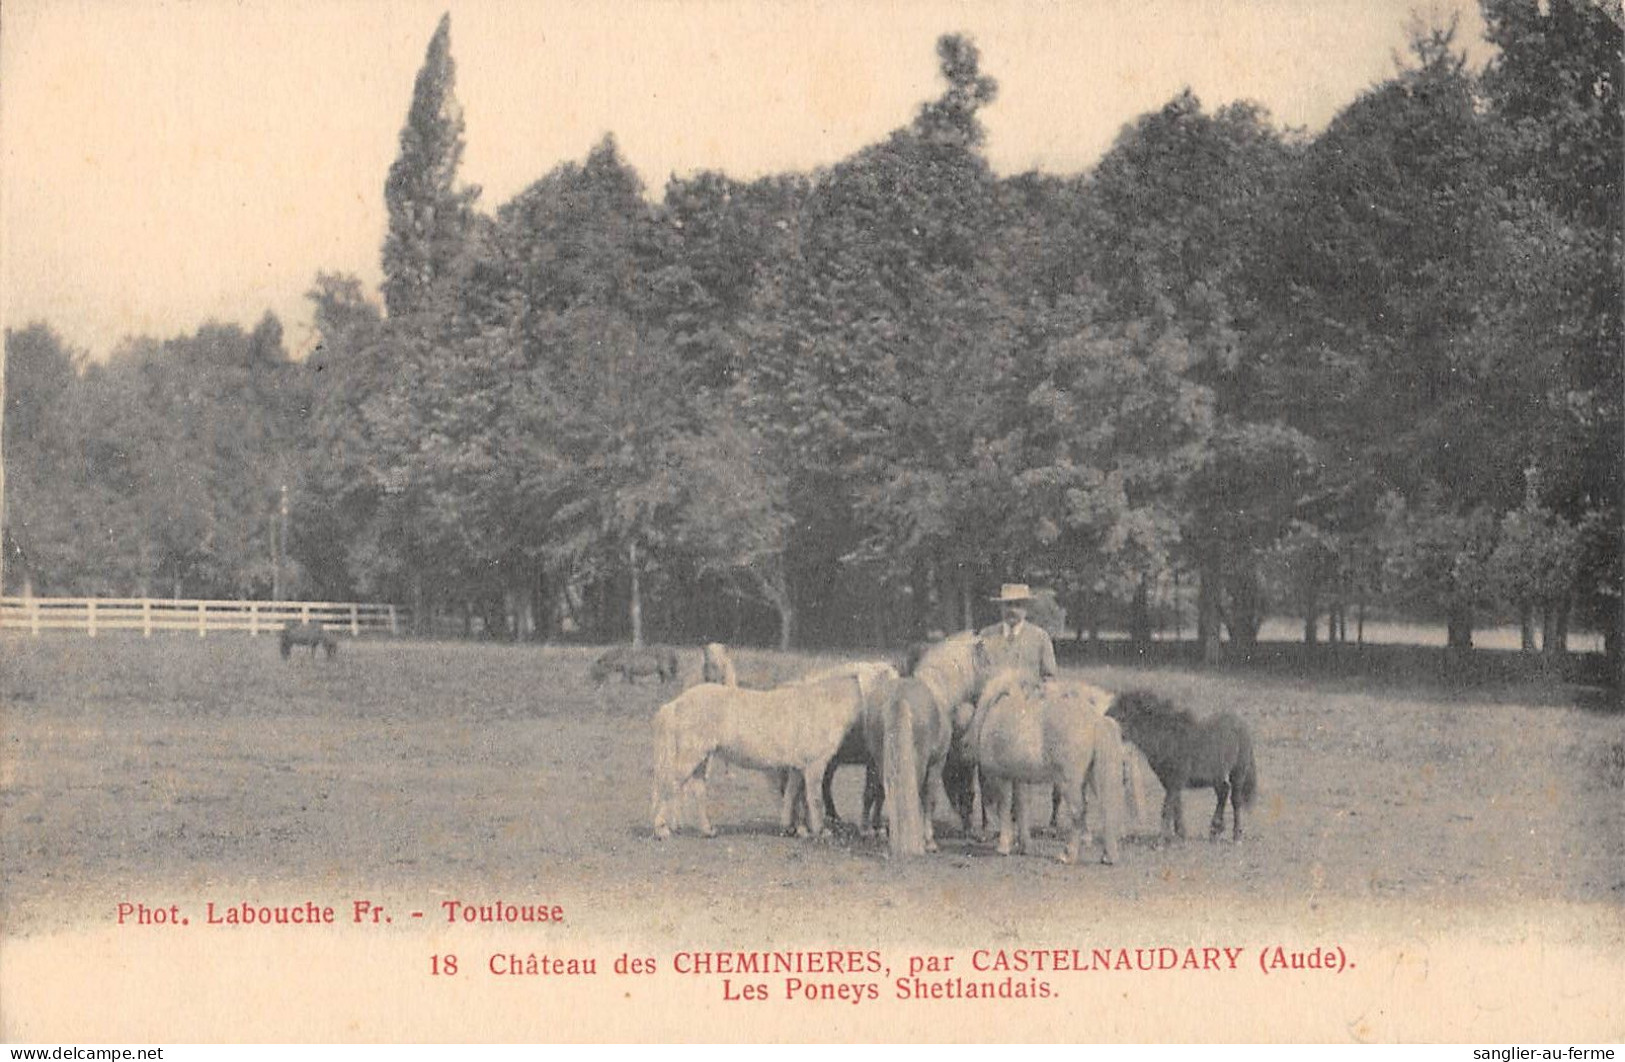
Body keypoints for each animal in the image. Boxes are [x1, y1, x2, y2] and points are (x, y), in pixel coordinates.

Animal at [646, 678, 877, 844]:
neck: (824, 707)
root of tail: (676, 704)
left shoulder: (797, 767)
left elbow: (793, 795)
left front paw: (794, 829)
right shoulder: (814, 766)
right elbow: (814, 799)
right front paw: (820, 832)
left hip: (701, 759)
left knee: (697, 789)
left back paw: (708, 831)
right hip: (691, 755)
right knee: (670, 785)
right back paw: (661, 831)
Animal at [968, 669, 1124, 870]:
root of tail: (1095, 720)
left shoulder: (1003, 777)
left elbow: (1004, 808)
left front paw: (1003, 846)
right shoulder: (1019, 779)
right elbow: (1021, 808)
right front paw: (1024, 846)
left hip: (1069, 783)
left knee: (1078, 812)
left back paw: (1068, 855)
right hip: (1092, 778)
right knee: (1105, 809)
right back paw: (1107, 856)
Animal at [1105, 691, 1254, 850]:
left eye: (1125, 712)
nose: (1105, 719)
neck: (1166, 737)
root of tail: (1242, 725)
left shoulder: (1174, 781)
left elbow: (1167, 809)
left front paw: (1161, 842)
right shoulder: (1169, 782)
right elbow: (1176, 806)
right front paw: (1179, 837)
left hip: (1238, 772)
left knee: (1235, 800)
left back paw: (1236, 836)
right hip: (1216, 775)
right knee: (1223, 792)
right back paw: (1215, 831)